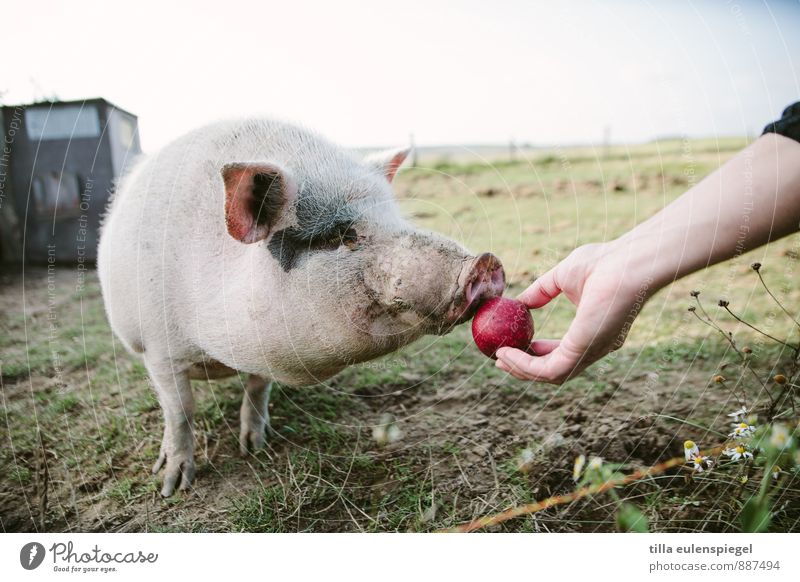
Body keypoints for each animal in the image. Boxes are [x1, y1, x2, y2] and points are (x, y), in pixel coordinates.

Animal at [97, 118, 504, 498]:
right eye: (340, 235)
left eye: (396, 218)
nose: (484, 263)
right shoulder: (158, 348)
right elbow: (180, 410)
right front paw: (172, 486)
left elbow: (258, 388)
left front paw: (256, 448)